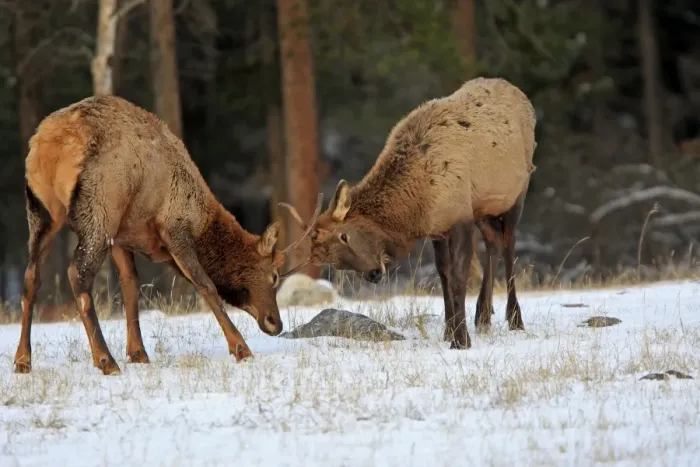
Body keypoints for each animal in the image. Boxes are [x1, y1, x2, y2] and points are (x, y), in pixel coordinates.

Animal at [13, 94, 322, 376]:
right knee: (77, 274)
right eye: (273, 276)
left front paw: (138, 353)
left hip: (42, 211)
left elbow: (130, 284)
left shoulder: (122, 234)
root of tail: (49, 144)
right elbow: (205, 284)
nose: (275, 323)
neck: (201, 222)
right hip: (100, 209)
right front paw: (241, 348)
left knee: (31, 277)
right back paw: (105, 360)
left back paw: (23, 360)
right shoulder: (174, 228)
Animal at [281, 77, 537, 350]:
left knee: (509, 245)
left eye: (344, 236)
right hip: (483, 208)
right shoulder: (440, 226)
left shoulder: (459, 215)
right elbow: (444, 275)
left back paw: (515, 320)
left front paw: (461, 340)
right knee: (494, 241)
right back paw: (483, 317)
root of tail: (520, 94)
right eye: (332, 262)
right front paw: (449, 332)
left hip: (517, 192)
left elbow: (459, 276)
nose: (374, 274)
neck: (416, 205)